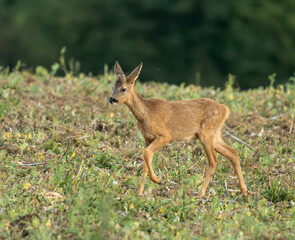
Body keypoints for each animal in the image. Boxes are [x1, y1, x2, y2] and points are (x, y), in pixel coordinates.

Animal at [108, 61, 247, 197]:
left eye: (123, 89)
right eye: (113, 87)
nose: (111, 99)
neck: (146, 114)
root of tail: (226, 109)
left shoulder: (165, 135)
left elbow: (146, 153)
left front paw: (157, 180)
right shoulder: (147, 138)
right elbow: (145, 162)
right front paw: (140, 193)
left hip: (206, 133)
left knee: (213, 160)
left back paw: (201, 193)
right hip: (214, 134)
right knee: (233, 153)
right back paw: (244, 191)